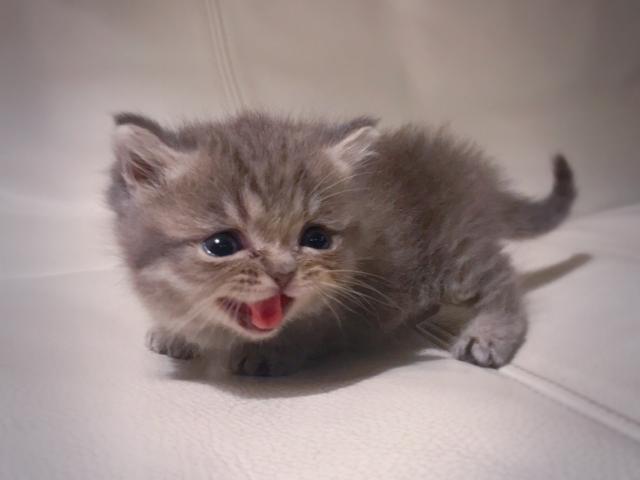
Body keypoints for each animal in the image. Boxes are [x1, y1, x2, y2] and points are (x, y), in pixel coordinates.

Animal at [107, 111, 576, 376]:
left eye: (315, 238)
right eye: (222, 244)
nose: (283, 271)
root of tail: (474, 173)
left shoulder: (349, 310)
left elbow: (311, 332)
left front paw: (268, 353)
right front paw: (174, 331)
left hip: (456, 254)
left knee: (501, 277)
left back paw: (490, 334)